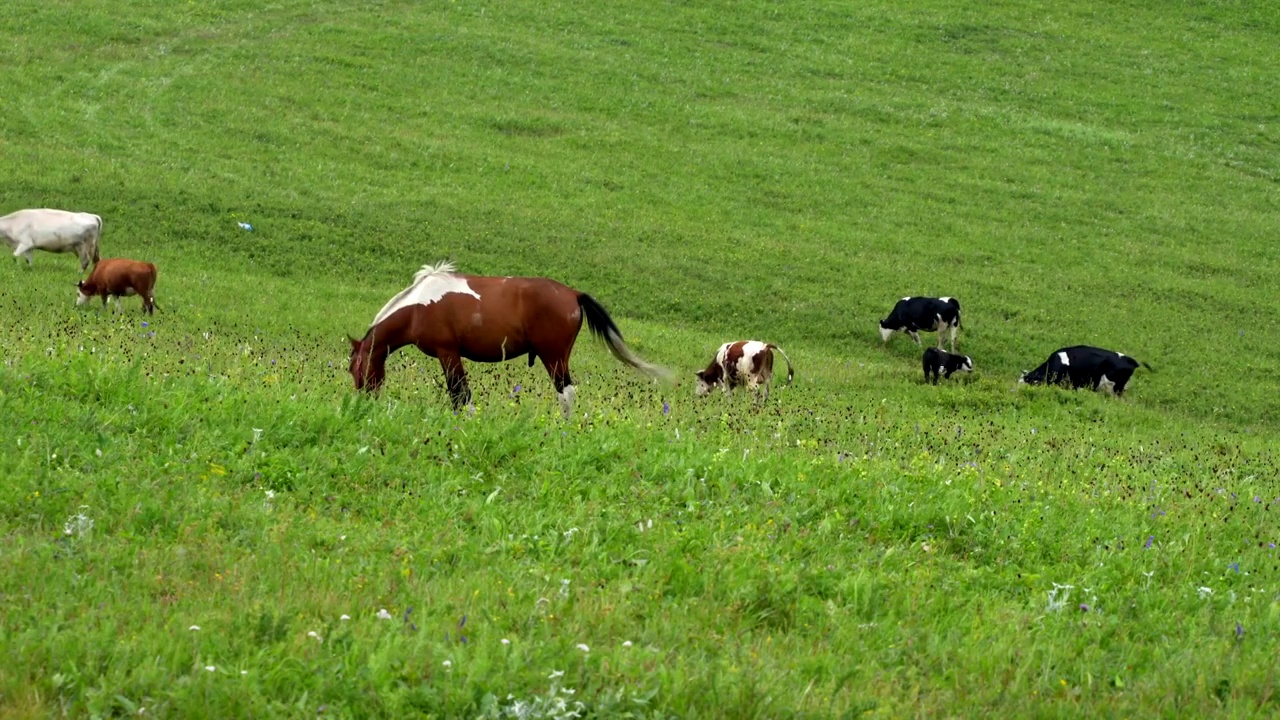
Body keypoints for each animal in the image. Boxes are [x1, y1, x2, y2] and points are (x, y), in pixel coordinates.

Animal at [345, 260, 675, 415]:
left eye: (354, 369)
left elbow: (460, 394)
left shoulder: (448, 353)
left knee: (566, 393)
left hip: (554, 358)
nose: (362, 400)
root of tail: (573, 294)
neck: (418, 307)